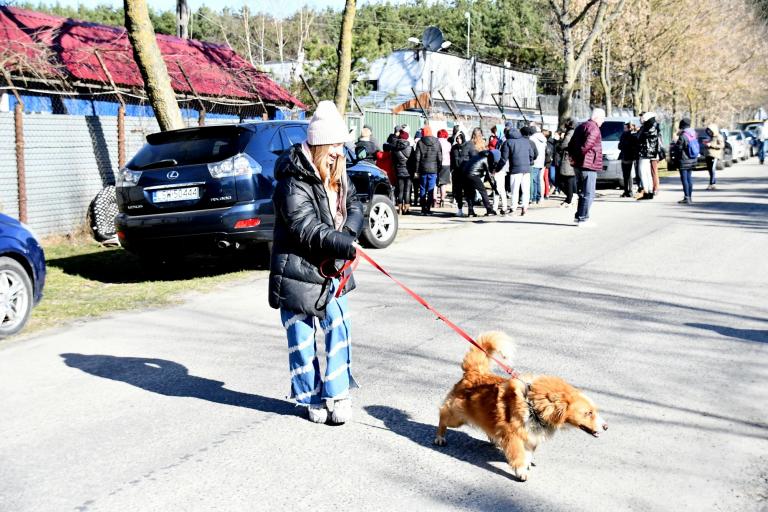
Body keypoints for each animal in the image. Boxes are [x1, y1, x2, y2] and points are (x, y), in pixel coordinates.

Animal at [432, 332, 608, 480]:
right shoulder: (513, 435)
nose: (606, 427)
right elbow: (518, 455)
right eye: (588, 413)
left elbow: (528, 454)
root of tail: (475, 372)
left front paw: (527, 464)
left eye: (594, 411)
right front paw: (521, 471)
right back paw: (440, 437)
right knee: (443, 414)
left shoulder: (530, 438)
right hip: (457, 416)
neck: (534, 406)